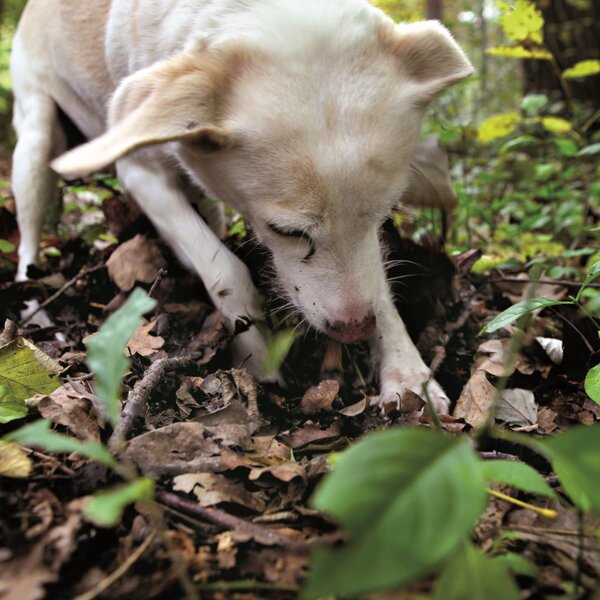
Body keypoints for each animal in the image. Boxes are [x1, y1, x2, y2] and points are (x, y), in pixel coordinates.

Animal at [10, 0, 474, 412]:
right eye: (286, 232)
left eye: (384, 214)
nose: (354, 329)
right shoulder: (139, 172)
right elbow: (224, 271)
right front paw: (257, 356)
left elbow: (378, 283)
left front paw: (406, 370)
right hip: (35, 141)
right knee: (29, 230)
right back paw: (31, 301)